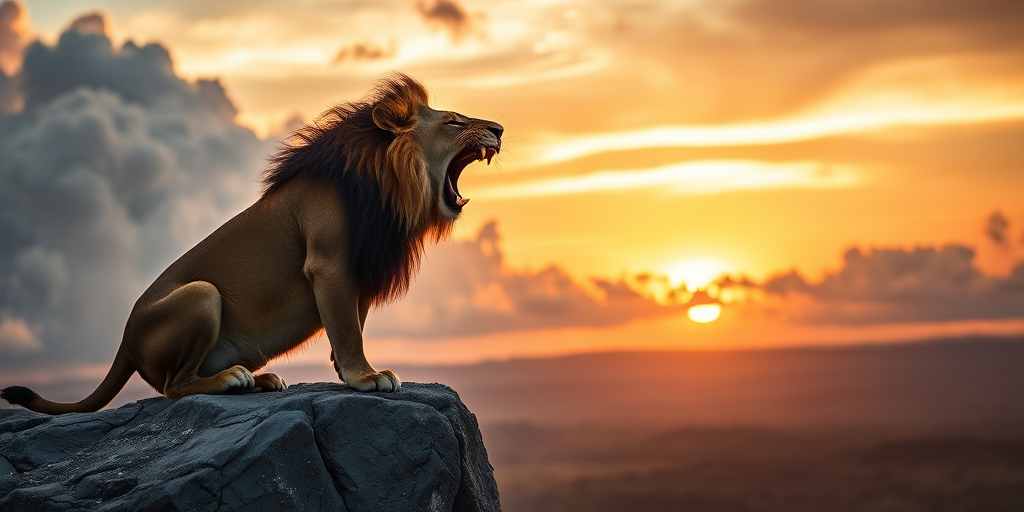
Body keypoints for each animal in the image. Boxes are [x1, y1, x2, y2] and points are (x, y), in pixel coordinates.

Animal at [1, 73, 503, 415]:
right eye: (455, 122)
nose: (498, 128)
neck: (386, 187)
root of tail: (124, 339)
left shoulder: (356, 270)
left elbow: (351, 324)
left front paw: (347, 372)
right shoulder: (328, 263)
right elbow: (347, 328)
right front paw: (366, 377)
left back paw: (260, 380)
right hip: (202, 294)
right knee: (173, 386)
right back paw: (233, 379)